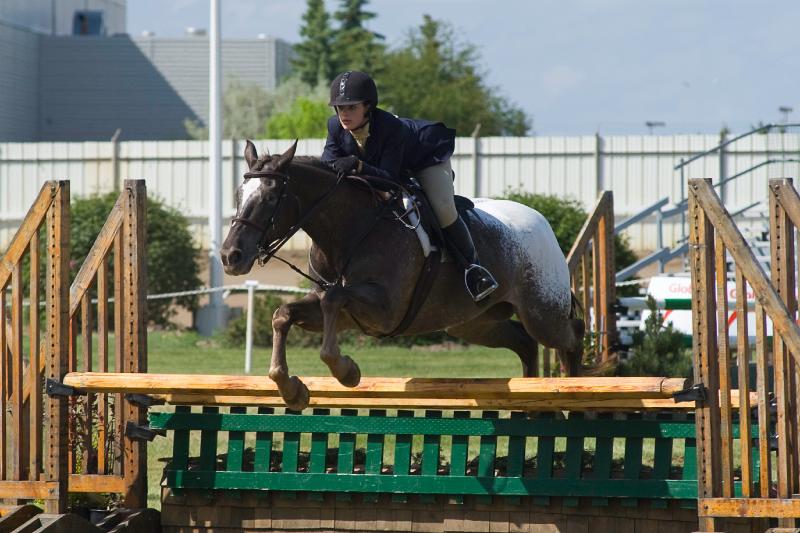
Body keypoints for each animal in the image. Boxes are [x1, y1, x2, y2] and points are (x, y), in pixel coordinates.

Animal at [222, 139, 584, 410]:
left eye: (271, 197)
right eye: (238, 196)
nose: (230, 257)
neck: (349, 230)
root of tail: (541, 221)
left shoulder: (385, 310)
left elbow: (334, 301)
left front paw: (347, 371)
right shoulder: (344, 312)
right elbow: (284, 314)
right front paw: (292, 389)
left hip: (542, 313)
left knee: (572, 335)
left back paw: (577, 390)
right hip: (474, 323)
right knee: (524, 343)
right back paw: (532, 398)